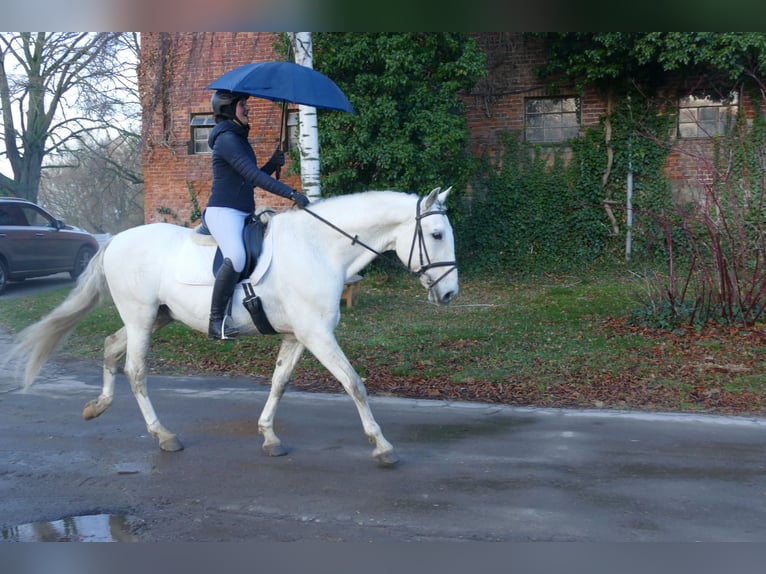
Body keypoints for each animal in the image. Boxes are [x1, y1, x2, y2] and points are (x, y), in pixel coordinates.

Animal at [9, 189, 460, 468]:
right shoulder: (317, 335)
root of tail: (116, 240)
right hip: (140, 318)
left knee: (110, 347)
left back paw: (97, 407)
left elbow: (279, 383)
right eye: (437, 234)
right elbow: (354, 384)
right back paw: (163, 435)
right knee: (135, 372)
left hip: (155, 316)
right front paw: (382, 447)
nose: (451, 293)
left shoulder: (298, 336)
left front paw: (269, 438)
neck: (319, 248)